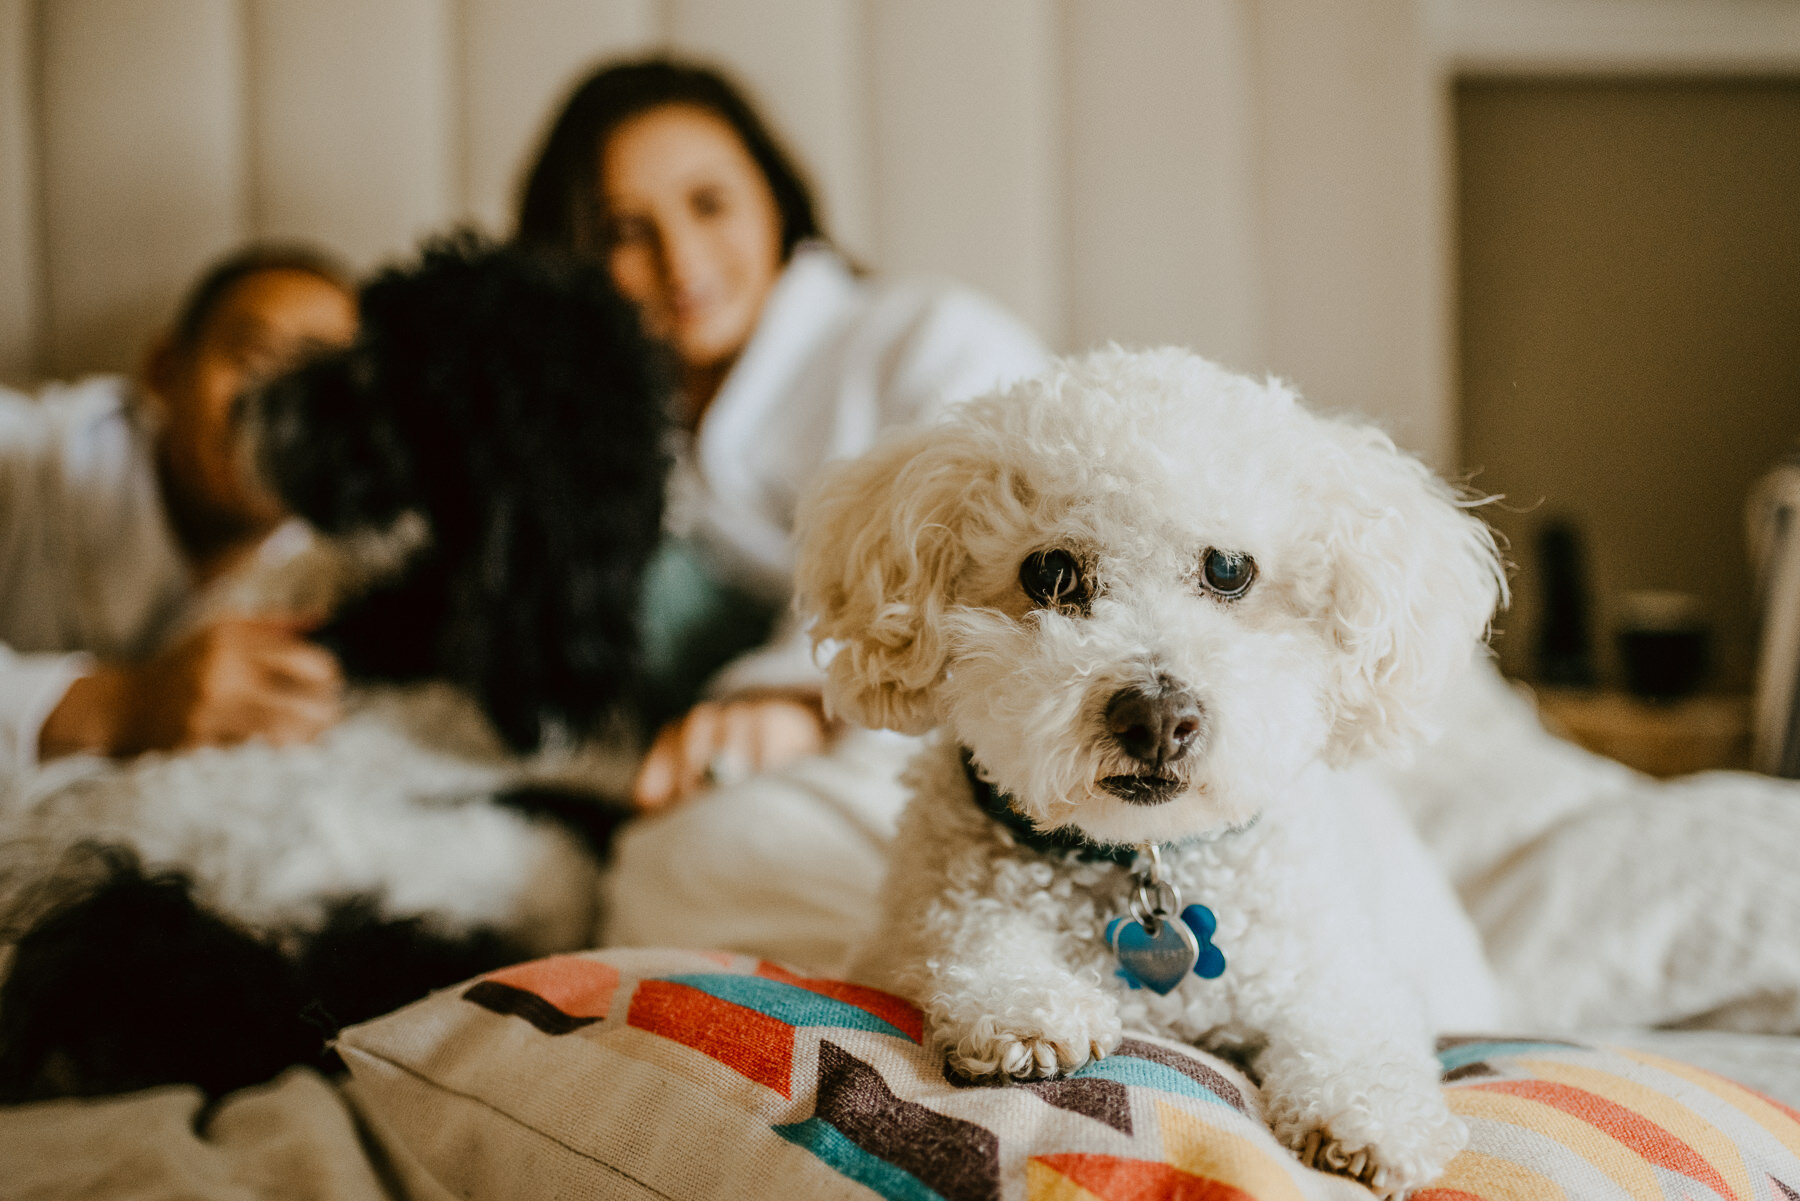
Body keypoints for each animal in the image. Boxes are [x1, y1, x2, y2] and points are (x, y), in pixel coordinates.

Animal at [795, 345, 1512, 1195]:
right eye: (1050, 573)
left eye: (1229, 569)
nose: (1157, 718)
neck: (1142, 856)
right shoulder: (920, 921)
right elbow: (967, 932)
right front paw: (1025, 1005)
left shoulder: (1330, 963)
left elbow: (1357, 1023)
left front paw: (1370, 1112)